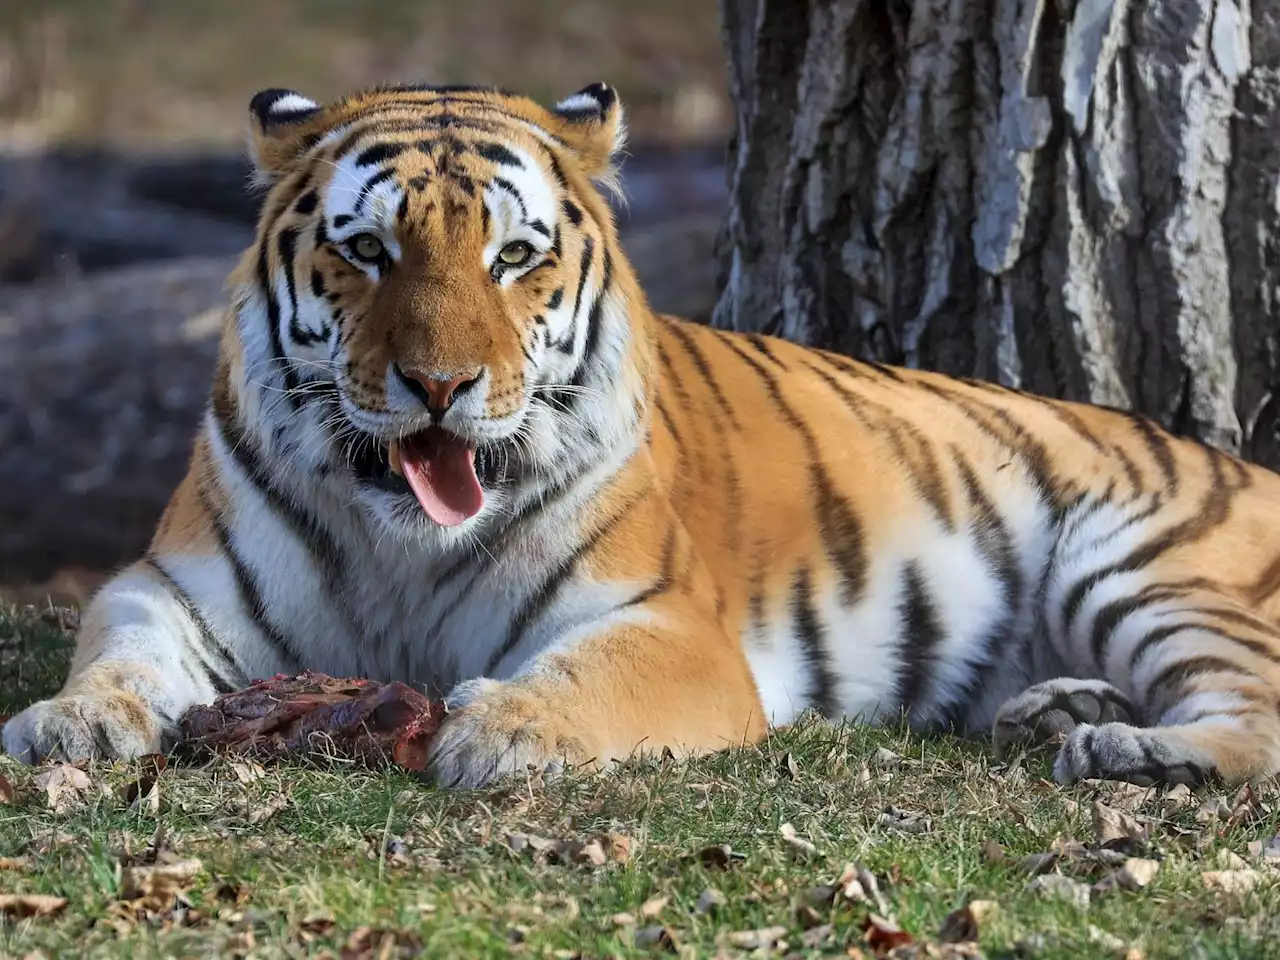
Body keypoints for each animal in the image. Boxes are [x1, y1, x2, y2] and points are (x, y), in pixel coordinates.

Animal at [7, 80, 1280, 788]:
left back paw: (1136, 755)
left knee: (1259, 714)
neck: (395, 542)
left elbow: (585, 675)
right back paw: (1062, 712)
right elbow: (116, 651)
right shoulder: (168, 583)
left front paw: (502, 728)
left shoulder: (667, 623)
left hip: (1143, 567)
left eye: (512, 257)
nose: (439, 385)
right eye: (367, 251)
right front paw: (71, 723)